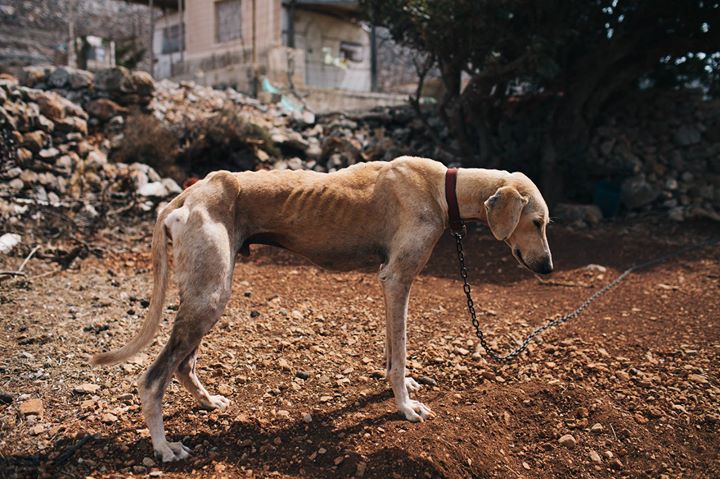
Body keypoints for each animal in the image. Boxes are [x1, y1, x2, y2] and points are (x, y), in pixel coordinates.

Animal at [93, 157, 556, 462]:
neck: (441, 188)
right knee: (153, 379)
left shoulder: (388, 281)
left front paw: (402, 385)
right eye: (536, 222)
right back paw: (163, 447)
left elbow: (393, 350)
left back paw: (208, 402)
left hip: (208, 292)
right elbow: (401, 350)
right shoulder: (397, 278)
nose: (548, 268)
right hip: (210, 295)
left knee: (183, 365)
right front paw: (405, 407)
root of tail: (188, 193)